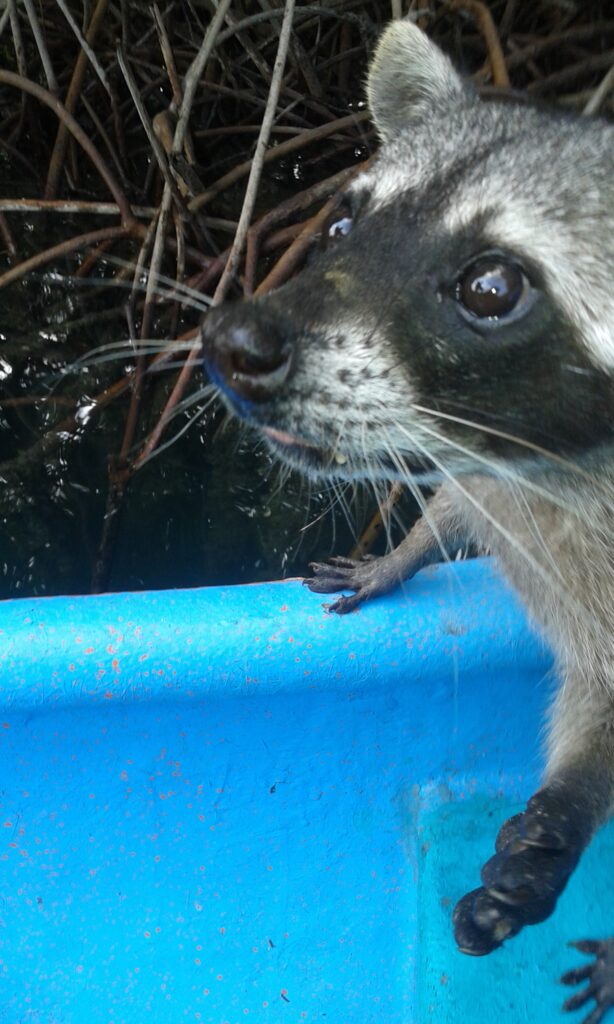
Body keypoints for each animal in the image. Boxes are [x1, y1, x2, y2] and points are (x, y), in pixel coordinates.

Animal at [201, 18, 614, 1016]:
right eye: (345, 223)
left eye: (491, 287)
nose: (233, 344)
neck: (540, 463)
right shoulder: (488, 478)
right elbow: (456, 506)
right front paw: (406, 551)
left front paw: (565, 821)